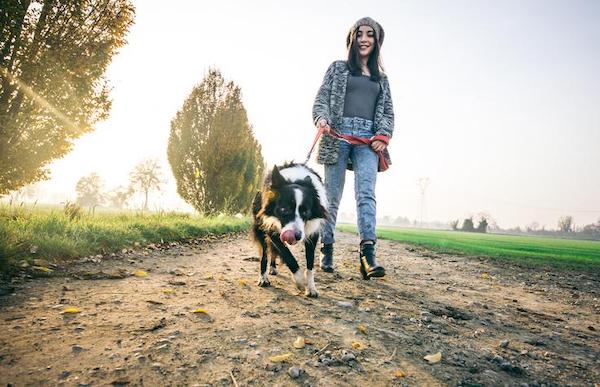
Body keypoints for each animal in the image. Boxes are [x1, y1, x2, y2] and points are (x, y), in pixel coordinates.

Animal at [252, 162, 330, 298]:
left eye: (306, 211)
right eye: (284, 209)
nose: (296, 236)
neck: (296, 180)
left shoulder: (312, 233)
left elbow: (310, 263)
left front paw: (311, 288)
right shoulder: (271, 227)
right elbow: (287, 255)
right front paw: (299, 281)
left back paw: (273, 268)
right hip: (260, 227)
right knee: (265, 254)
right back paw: (263, 278)